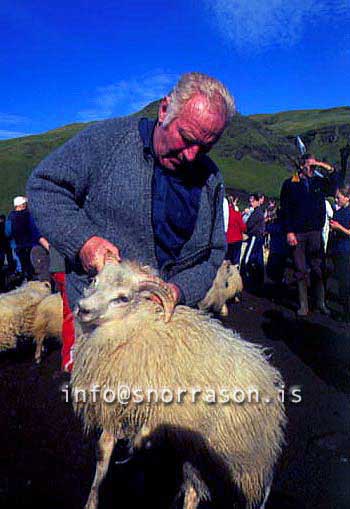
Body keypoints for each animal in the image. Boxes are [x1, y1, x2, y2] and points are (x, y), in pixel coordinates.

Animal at [72, 262, 286, 508]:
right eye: (94, 281)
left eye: (123, 298)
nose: (83, 309)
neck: (135, 327)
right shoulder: (112, 406)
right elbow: (103, 451)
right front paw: (93, 499)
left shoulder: (164, 409)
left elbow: (140, 438)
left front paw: (132, 452)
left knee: (194, 489)